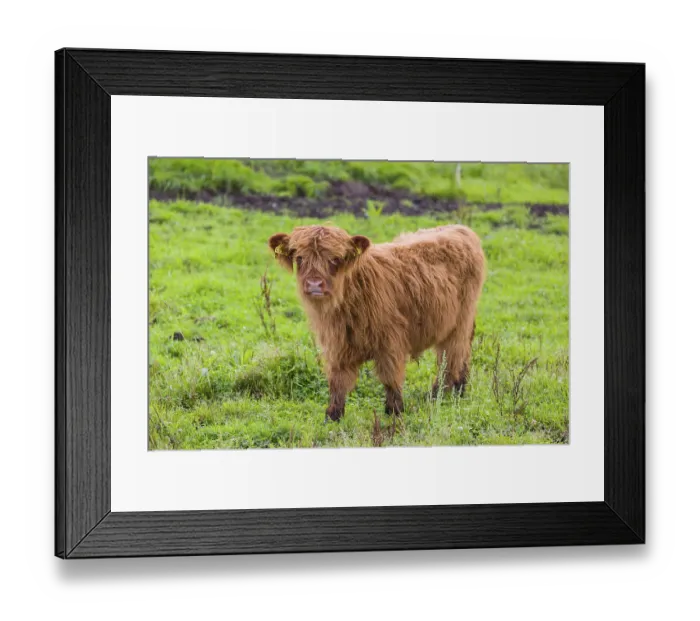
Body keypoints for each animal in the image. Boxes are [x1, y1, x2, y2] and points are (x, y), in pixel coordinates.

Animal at [268, 224, 486, 422]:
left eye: (335, 259)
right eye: (299, 258)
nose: (314, 284)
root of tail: (460, 228)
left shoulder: (390, 341)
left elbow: (390, 378)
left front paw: (394, 411)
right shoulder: (336, 345)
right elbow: (337, 380)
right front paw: (333, 415)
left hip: (460, 321)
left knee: (451, 356)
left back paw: (438, 395)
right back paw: (459, 390)